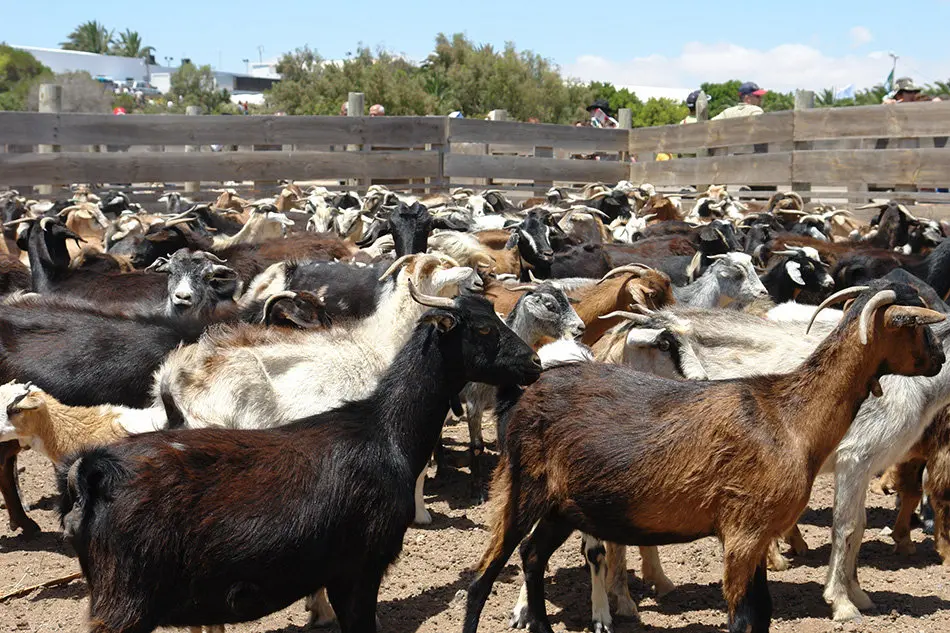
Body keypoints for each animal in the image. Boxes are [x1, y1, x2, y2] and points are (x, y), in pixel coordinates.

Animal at [57, 286, 540, 633]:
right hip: (124, 604)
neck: (385, 433)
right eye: (482, 329)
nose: (534, 363)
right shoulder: (360, 567)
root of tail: (95, 474)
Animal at [465, 281, 945, 633]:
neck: (790, 414)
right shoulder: (743, 532)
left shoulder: (757, 536)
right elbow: (744, 618)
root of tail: (525, 394)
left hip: (564, 507)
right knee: (485, 573)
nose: (940, 358)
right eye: (915, 325)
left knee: (532, 556)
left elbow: (763, 614)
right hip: (523, 491)